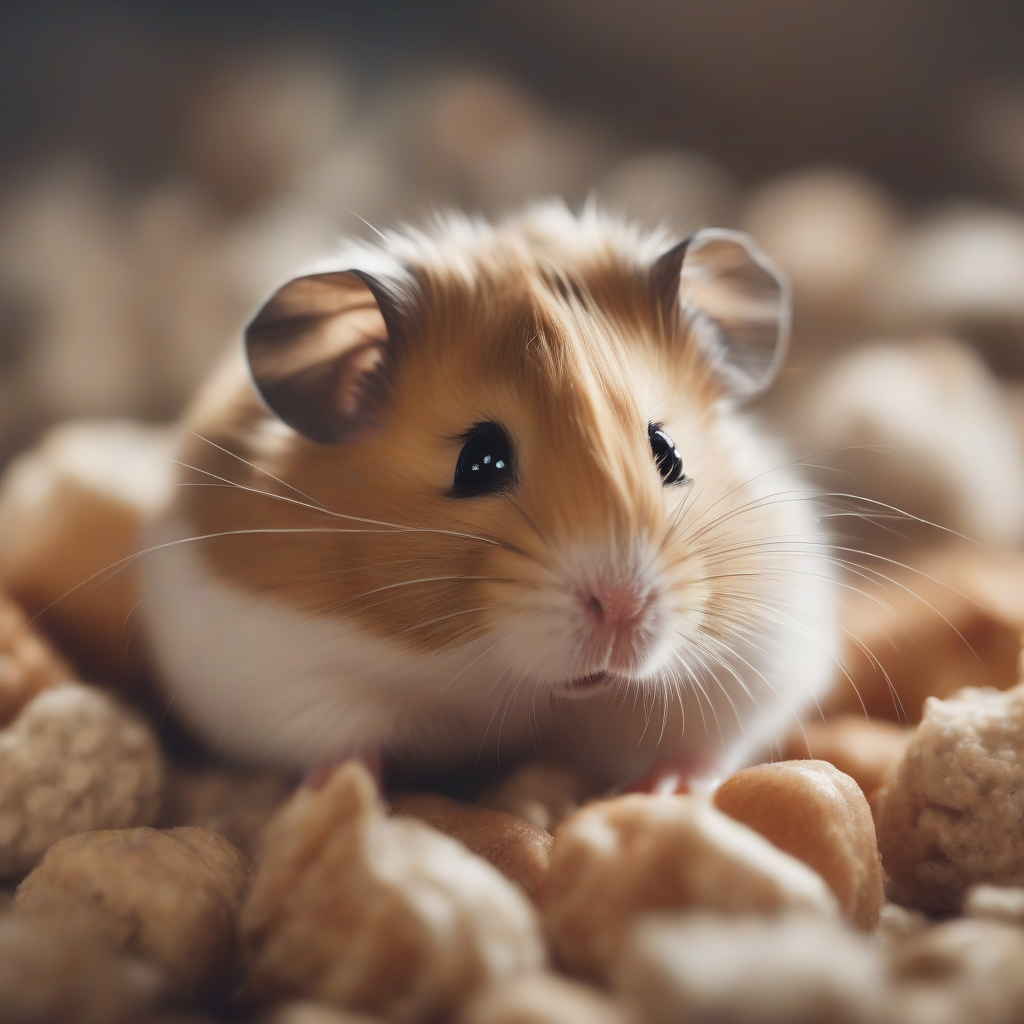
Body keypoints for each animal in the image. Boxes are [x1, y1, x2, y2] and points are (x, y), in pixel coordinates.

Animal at [140, 202, 839, 788]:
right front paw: (345, 794)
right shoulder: (278, 673)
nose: (623, 607)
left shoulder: (759, 659)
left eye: (668, 452)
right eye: (478, 463)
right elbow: (338, 743)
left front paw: (666, 791)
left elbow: (705, 745)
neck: (513, 679)